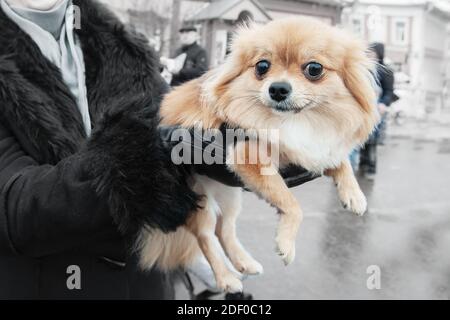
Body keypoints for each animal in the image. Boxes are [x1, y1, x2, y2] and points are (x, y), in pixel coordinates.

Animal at [137, 17, 380, 292]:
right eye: (262, 66)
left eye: (314, 69)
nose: (278, 88)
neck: (293, 122)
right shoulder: (248, 156)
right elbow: (291, 204)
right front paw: (286, 242)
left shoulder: (312, 148)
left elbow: (339, 160)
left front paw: (354, 195)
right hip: (199, 199)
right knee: (206, 236)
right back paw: (226, 278)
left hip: (229, 194)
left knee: (225, 229)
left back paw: (244, 263)